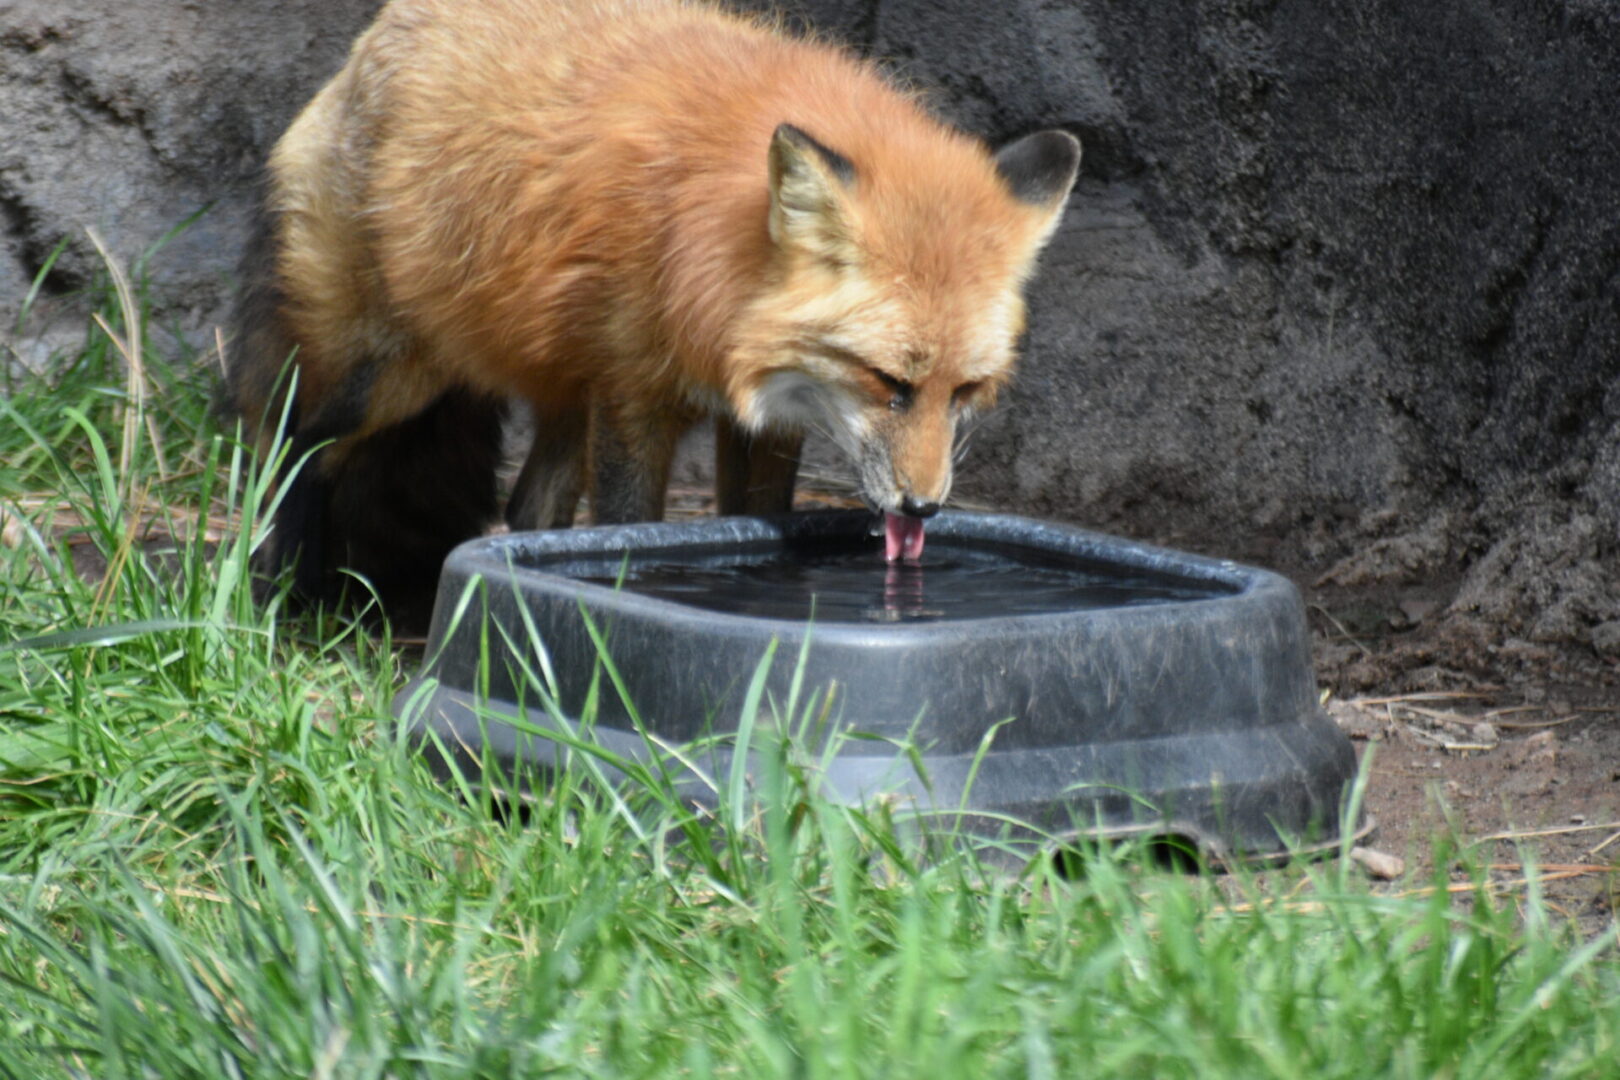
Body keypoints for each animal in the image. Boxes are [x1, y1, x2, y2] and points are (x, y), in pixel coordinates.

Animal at [215, 0, 1075, 615]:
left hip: (560, 394)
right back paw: (278, 599)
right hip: (392, 374)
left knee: (526, 511)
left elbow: (760, 522)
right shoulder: (633, 396)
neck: (707, 254)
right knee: (295, 447)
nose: (923, 507)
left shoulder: (770, 415)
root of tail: (369, 43)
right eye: (888, 382)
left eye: (965, 390)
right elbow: (634, 528)